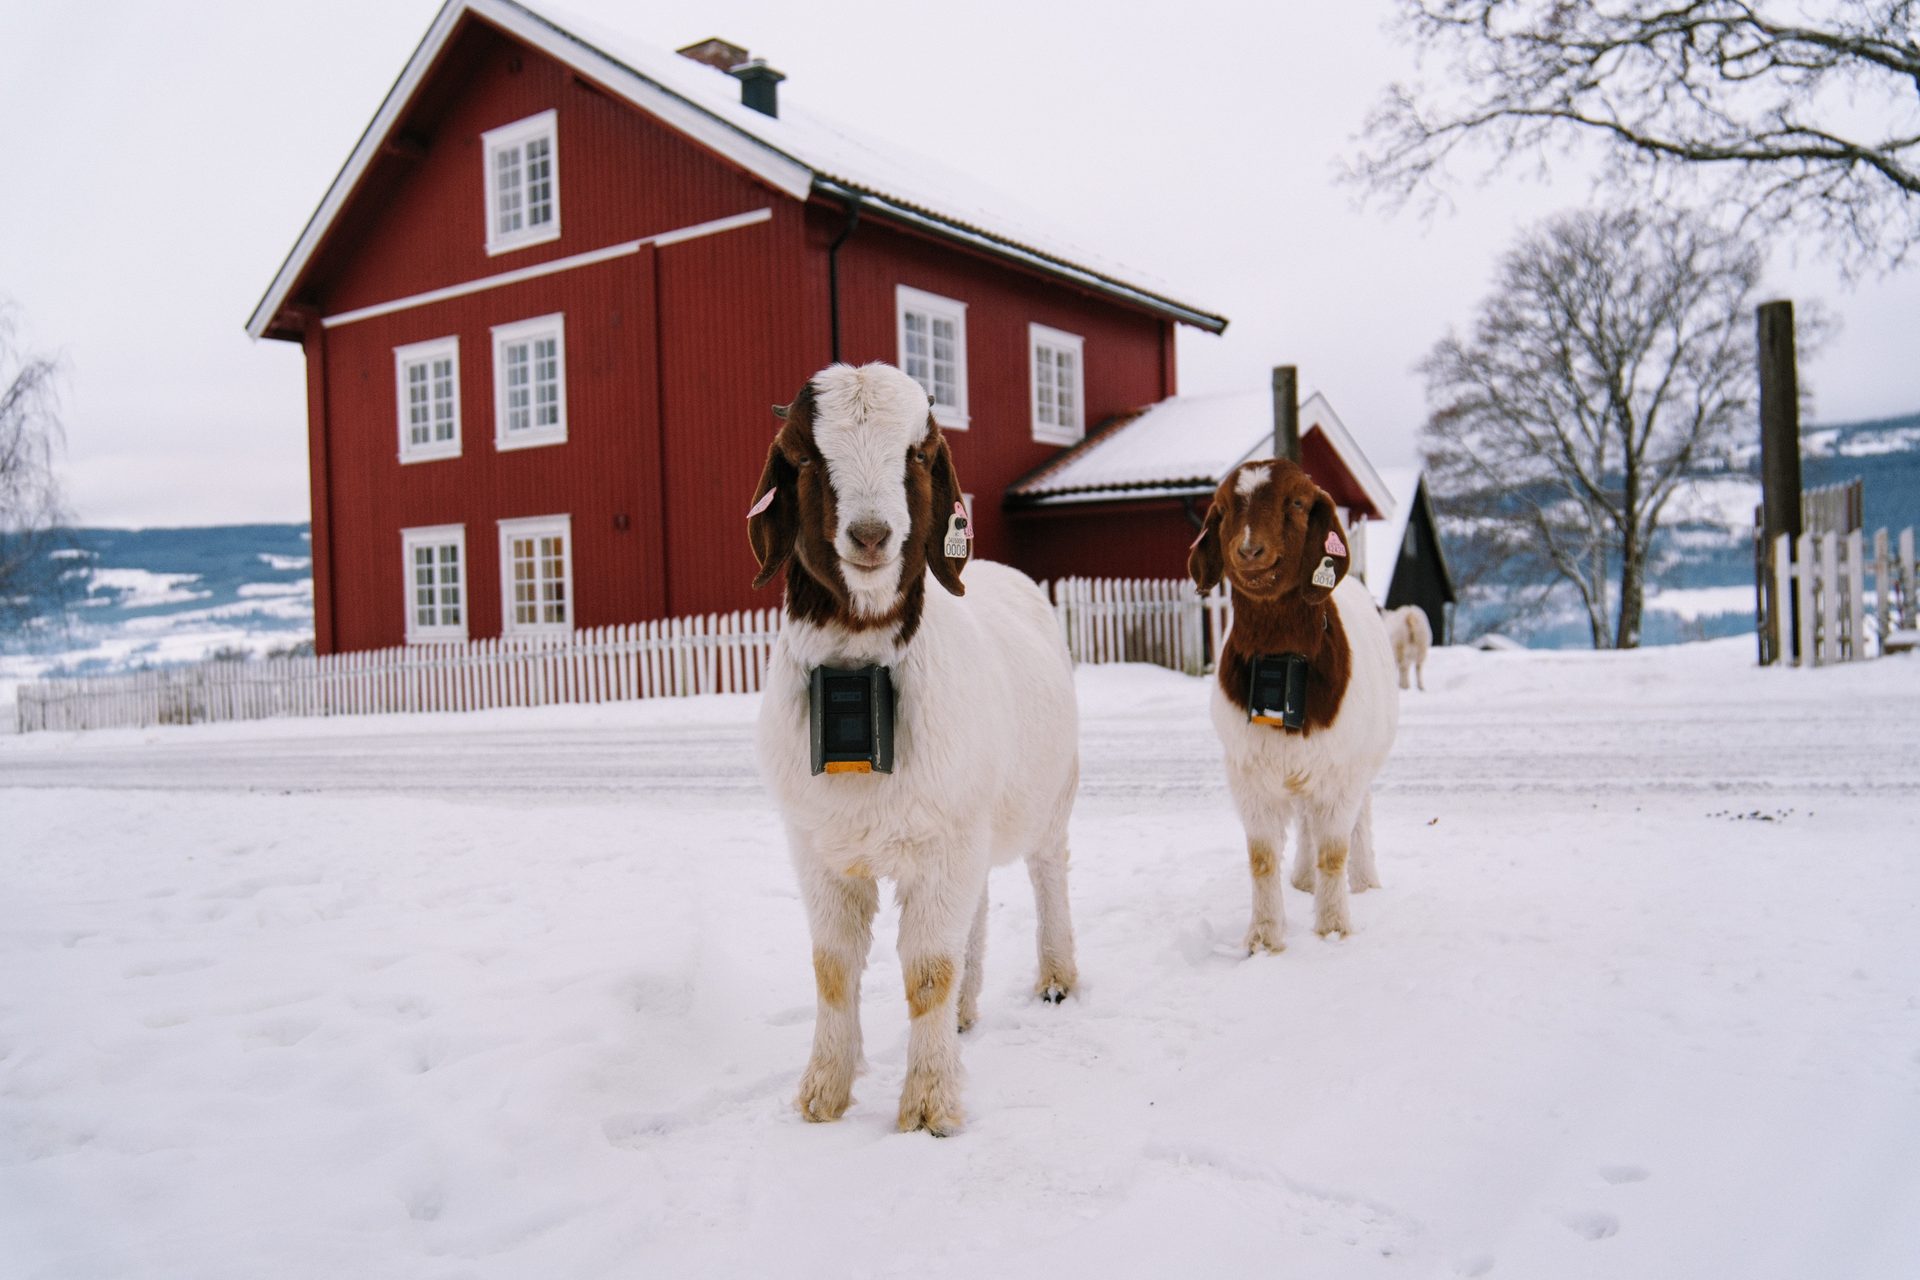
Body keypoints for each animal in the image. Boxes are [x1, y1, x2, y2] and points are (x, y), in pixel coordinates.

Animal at [748, 362, 1079, 1136]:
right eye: (802, 456)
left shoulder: (943, 844)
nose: (871, 536)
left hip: (1049, 795)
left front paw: (929, 1106)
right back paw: (966, 1014)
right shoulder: (818, 847)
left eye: (921, 455)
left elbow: (928, 971)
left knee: (1048, 872)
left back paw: (1056, 978)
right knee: (978, 909)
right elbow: (833, 966)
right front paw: (824, 1093)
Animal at [1188, 458, 1399, 949]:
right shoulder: (1249, 774)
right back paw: (1303, 879)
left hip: (1361, 759)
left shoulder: (1341, 770)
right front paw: (1264, 939)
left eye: (1298, 503)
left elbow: (1334, 851)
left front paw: (1334, 928)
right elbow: (1263, 857)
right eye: (1222, 508)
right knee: (1305, 820)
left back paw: (1364, 880)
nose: (1249, 551)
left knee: (1359, 817)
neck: (1280, 667)